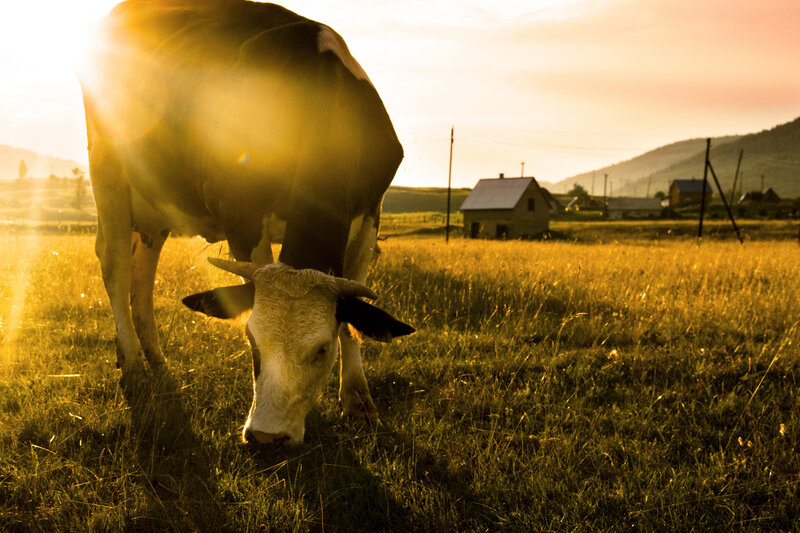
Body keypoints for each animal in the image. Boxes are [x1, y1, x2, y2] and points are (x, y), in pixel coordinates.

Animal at [79, 0, 414, 447]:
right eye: (251, 341)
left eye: (321, 349)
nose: (267, 437)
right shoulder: (241, 215)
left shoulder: (369, 214)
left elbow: (353, 317)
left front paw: (359, 402)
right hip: (108, 166)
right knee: (115, 265)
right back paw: (133, 363)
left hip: (156, 202)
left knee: (142, 277)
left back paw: (157, 358)